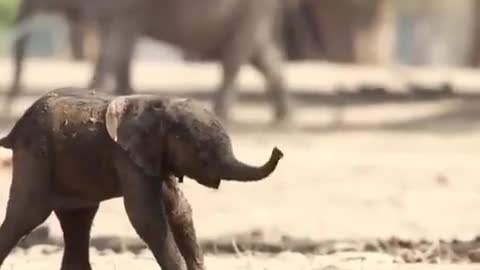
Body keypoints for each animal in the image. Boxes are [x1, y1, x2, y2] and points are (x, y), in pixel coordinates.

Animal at [0, 87, 284, 268]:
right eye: (203, 155)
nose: (278, 150)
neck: (161, 106)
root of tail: (13, 130)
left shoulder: (156, 156)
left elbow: (180, 210)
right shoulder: (127, 156)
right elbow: (146, 217)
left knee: (78, 220)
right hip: (35, 154)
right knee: (28, 215)